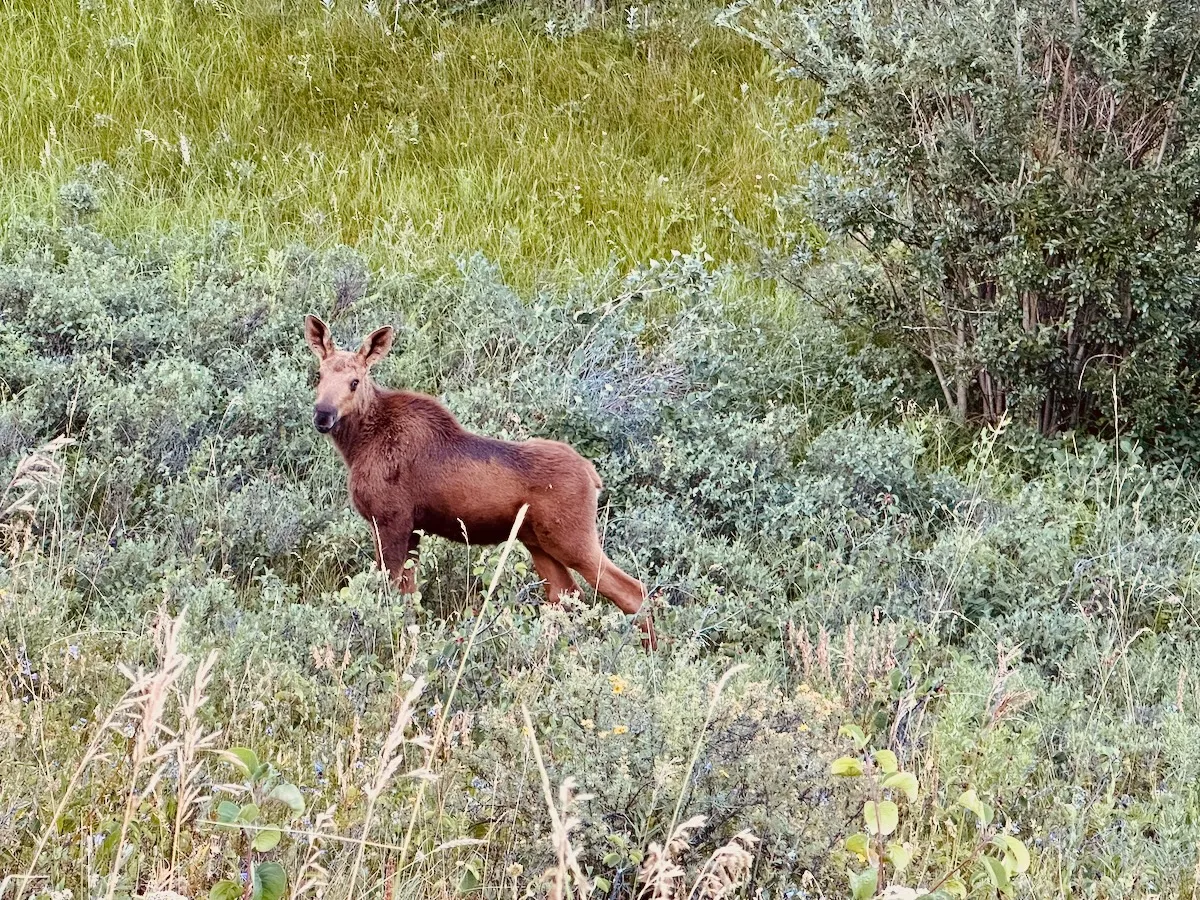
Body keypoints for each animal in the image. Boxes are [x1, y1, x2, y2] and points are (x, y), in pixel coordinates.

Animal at [300, 314, 657, 648]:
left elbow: (389, 591)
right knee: (565, 595)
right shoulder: (411, 528)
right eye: (319, 375)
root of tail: (593, 476)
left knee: (632, 591)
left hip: (572, 537)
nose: (323, 415)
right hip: (538, 542)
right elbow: (408, 596)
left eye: (354, 382)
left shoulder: (391, 519)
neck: (357, 446)